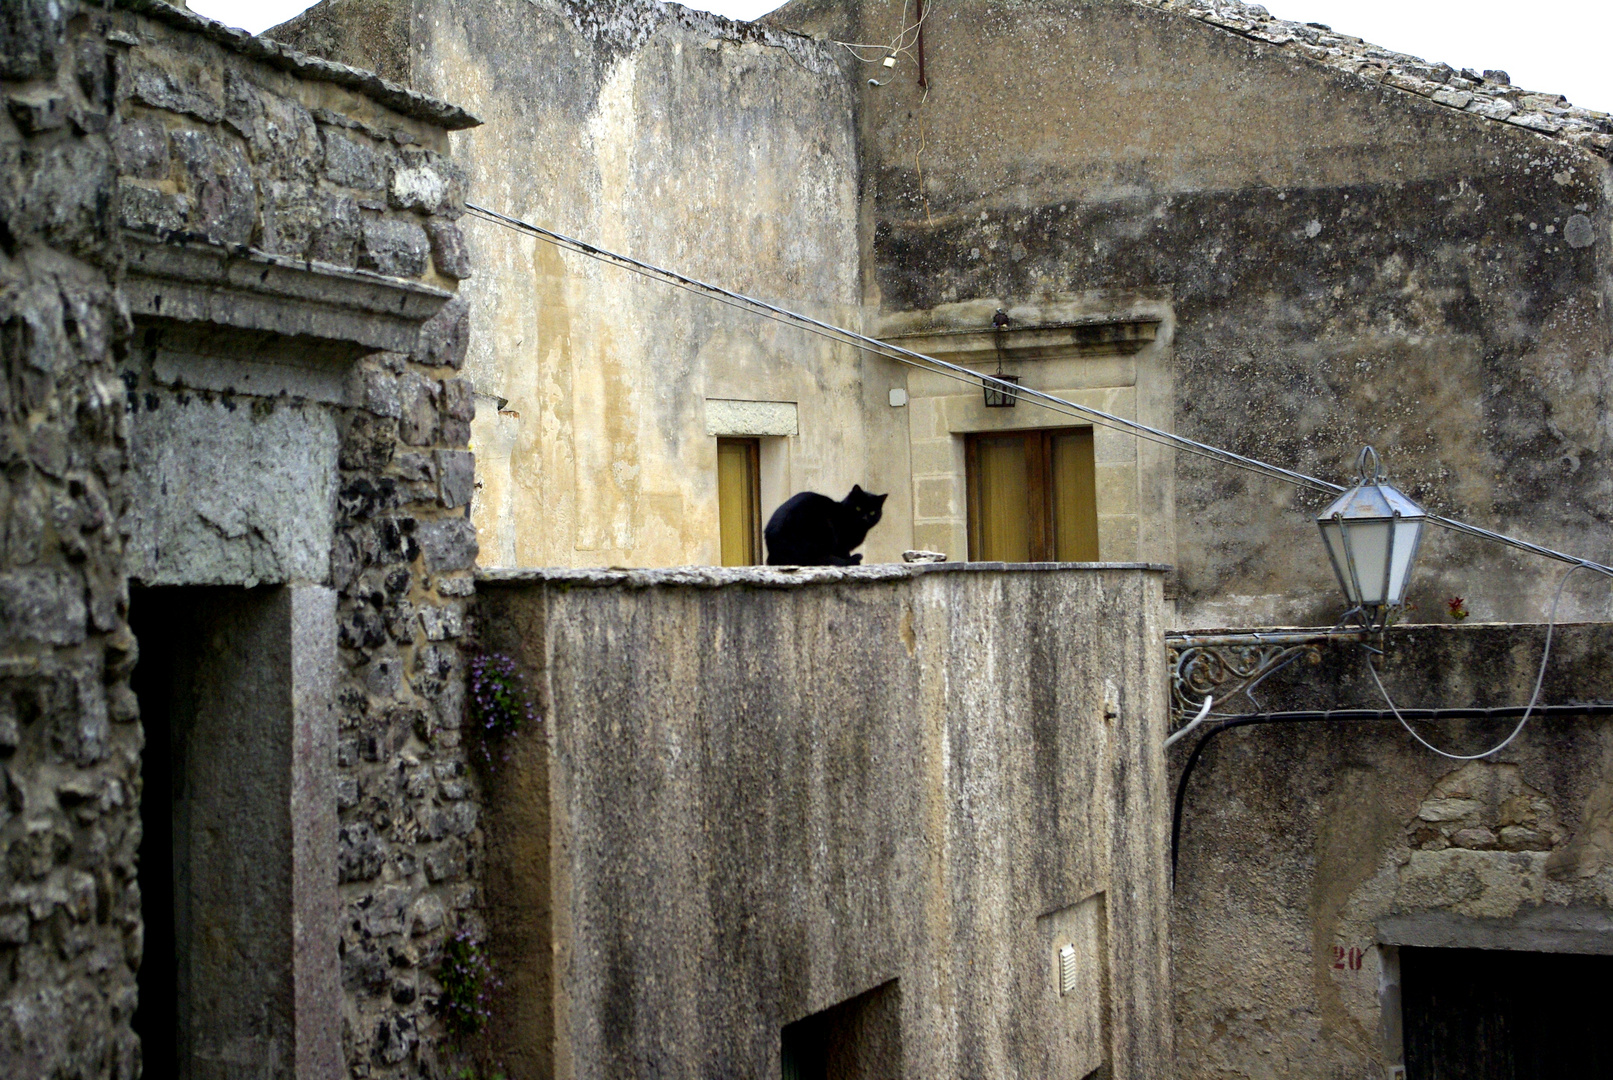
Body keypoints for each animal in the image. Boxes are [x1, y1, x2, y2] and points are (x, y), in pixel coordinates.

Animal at [761, 483, 890, 567]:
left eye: (872, 512)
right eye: (858, 508)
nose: (864, 518)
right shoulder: (841, 543)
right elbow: (844, 552)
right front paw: (849, 560)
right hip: (823, 529)